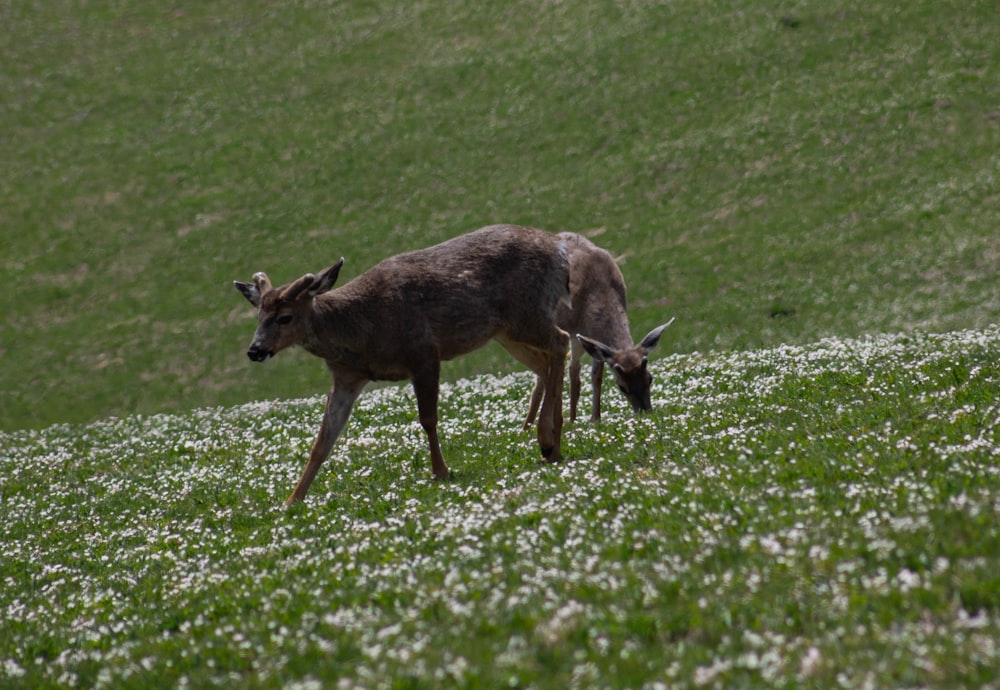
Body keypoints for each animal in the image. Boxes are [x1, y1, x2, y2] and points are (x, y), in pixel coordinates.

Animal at [229, 226, 568, 506]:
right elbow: (323, 440)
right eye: (259, 316)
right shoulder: (347, 378)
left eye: (286, 317)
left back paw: (549, 441)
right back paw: (552, 439)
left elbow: (428, 419)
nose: (255, 350)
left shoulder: (424, 351)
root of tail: (558, 248)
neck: (363, 329)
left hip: (527, 311)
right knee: (545, 361)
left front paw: (440, 471)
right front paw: (292, 499)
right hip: (506, 331)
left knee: (562, 341)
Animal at [524, 231, 672, 424]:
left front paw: (595, 418)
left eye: (650, 378)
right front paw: (575, 420)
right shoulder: (572, 331)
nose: (645, 412)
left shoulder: (594, 340)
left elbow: (596, 376)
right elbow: (570, 372)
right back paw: (529, 424)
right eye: (622, 387)